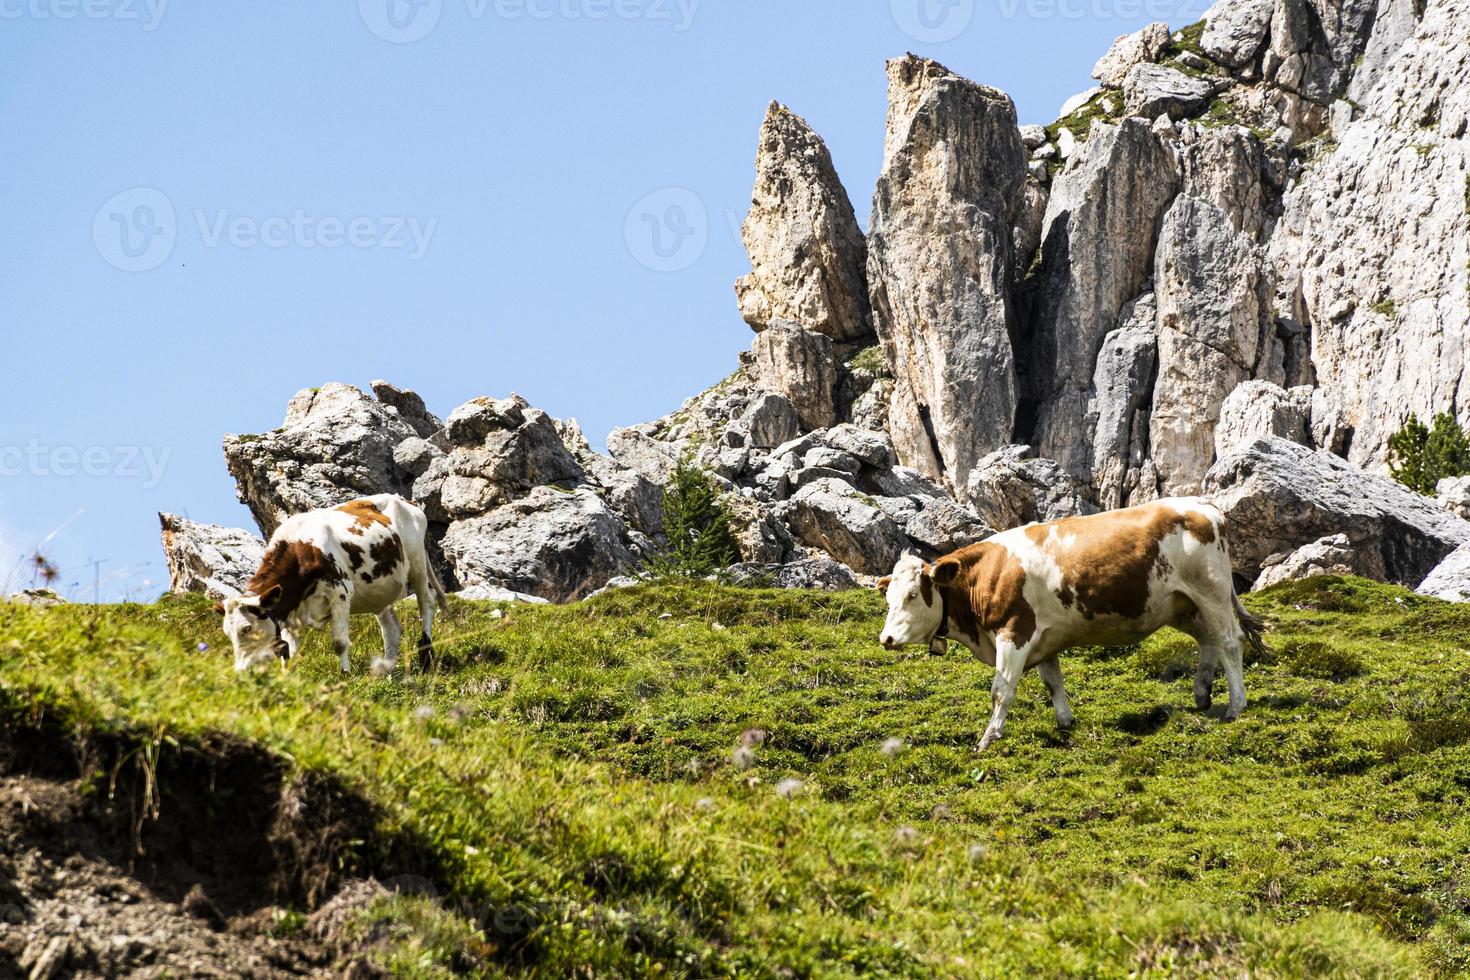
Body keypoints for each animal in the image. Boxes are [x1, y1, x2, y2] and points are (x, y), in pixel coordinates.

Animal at [216, 499, 446, 675]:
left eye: (246, 628)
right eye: (227, 632)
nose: (240, 670)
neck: (301, 551)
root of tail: (406, 501)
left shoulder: (340, 593)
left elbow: (339, 642)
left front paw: (345, 674)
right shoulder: (288, 610)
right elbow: (290, 650)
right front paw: (288, 678)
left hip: (417, 563)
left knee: (427, 602)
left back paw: (426, 656)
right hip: (381, 589)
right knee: (391, 629)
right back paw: (386, 671)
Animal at [870, 499, 1264, 752]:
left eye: (912, 596)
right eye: (888, 599)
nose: (886, 638)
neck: (987, 577)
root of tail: (1204, 505)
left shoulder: (1015, 632)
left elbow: (1001, 690)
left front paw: (987, 739)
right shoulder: (1044, 640)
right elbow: (1052, 682)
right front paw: (1065, 722)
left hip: (1210, 591)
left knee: (1230, 641)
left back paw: (1235, 705)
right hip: (1183, 604)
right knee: (1209, 640)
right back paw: (1202, 693)